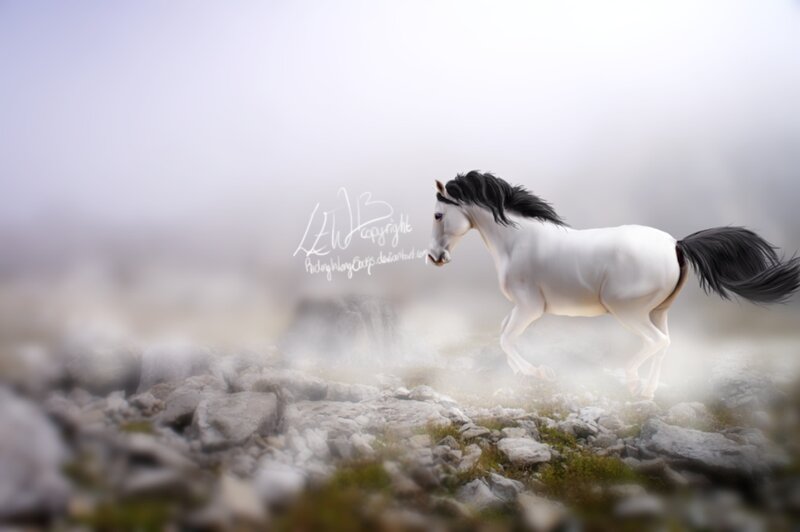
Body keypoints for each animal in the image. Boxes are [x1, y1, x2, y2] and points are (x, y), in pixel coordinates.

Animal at [426, 171, 800, 398]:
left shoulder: (529, 307)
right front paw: (527, 374)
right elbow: (503, 335)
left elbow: (506, 337)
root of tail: (675, 244)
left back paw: (633, 382)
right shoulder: (520, 308)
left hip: (629, 311)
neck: (517, 241)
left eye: (437, 215)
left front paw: (538, 373)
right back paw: (648, 392)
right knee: (665, 343)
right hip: (659, 311)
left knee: (656, 342)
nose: (434, 258)